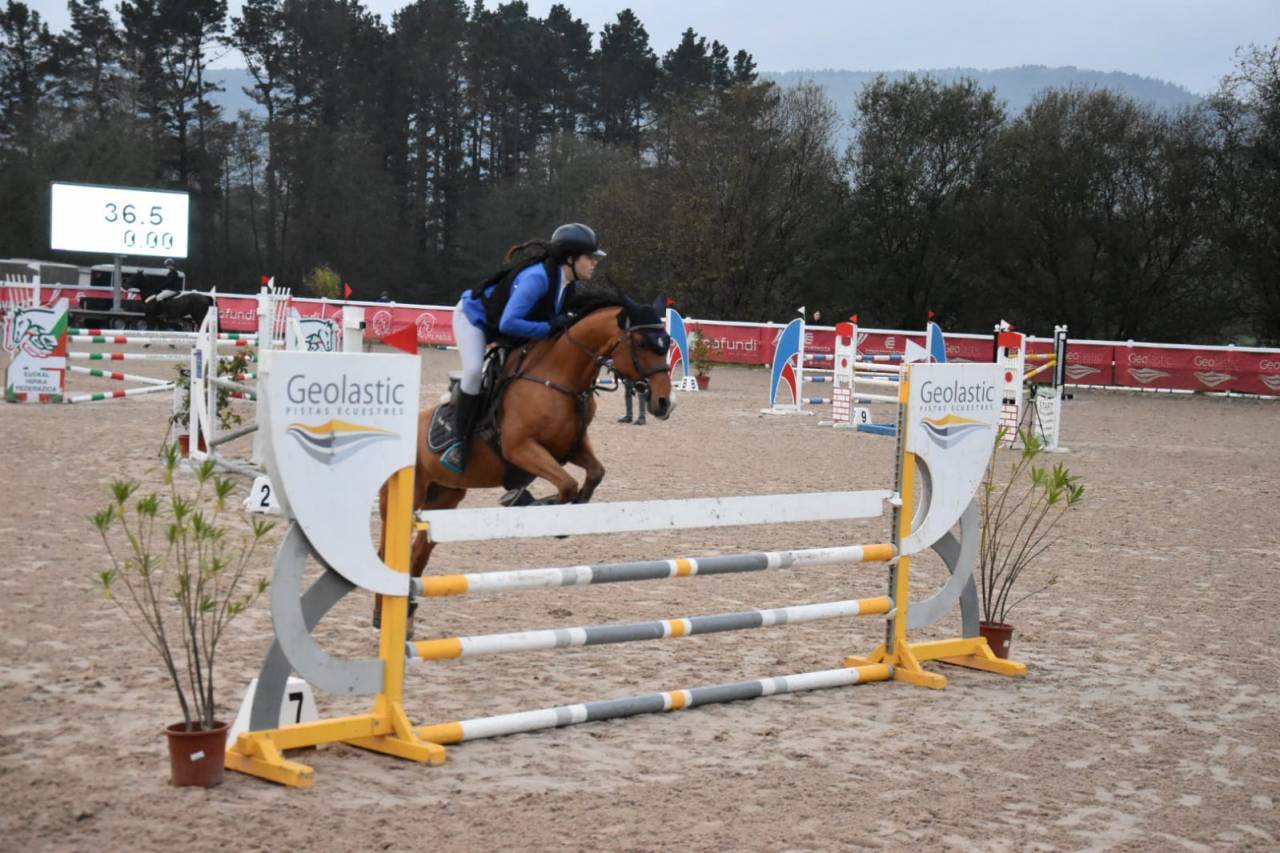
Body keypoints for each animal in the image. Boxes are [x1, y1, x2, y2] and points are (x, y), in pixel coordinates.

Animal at [375, 292, 676, 628]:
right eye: (641, 343)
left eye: (667, 343)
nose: (663, 403)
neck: (558, 378)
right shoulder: (520, 448)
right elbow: (566, 484)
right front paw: (532, 503)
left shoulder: (571, 447)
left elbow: (595, 473)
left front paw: (568, 506)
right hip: (404, 498)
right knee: (386, 551)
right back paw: (381, 614)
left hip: (445, 499)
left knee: (418, 553)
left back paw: (405, 612)